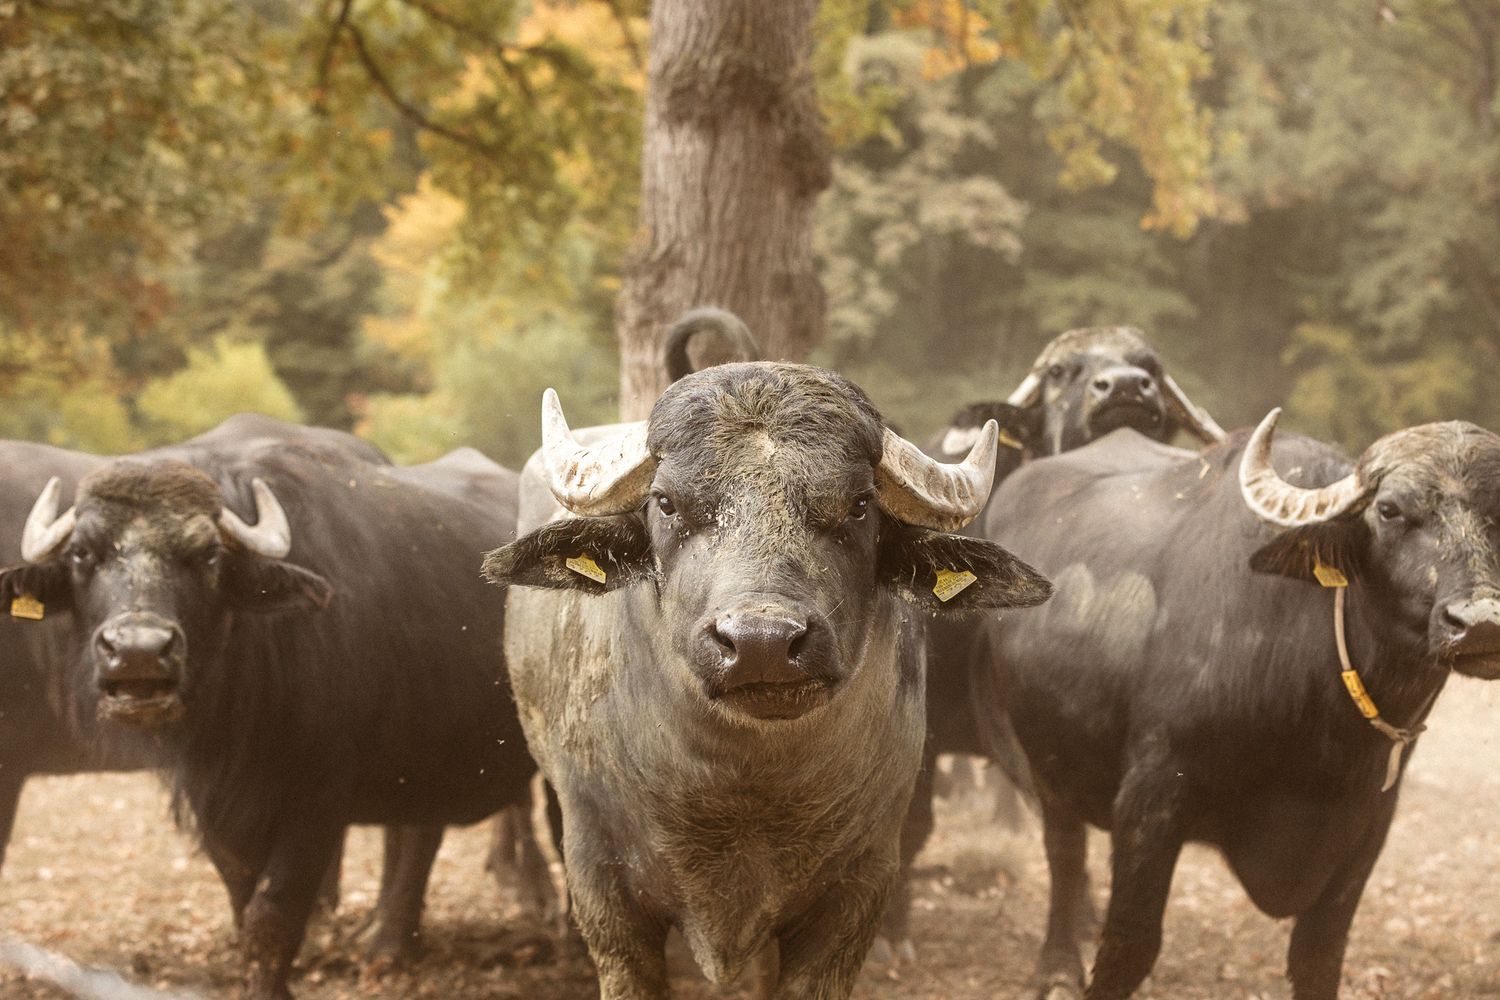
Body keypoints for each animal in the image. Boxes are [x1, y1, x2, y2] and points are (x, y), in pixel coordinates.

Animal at [0, 426, 535, 1000]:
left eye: (209, 555)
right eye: (82, 553)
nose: (139, 650)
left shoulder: (318, 803)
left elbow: (273, 916)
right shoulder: (217, 802)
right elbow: (242, 904)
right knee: (417, 833)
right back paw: (390, 944)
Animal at [484, 349, 1052, 999]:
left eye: (860, 504)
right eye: (666, 503)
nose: (763, 644)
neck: (744, 790)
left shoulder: (857, 893)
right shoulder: (606, 890)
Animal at [979, 411, 1500, 999]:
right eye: (1389, 510)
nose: (1480, 623)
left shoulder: (1367, 824)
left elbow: (1319, 956)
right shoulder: (1150, 797)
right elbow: (1129, 947)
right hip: (1046, 761)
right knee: (1064, 852)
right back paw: (1058, 965)